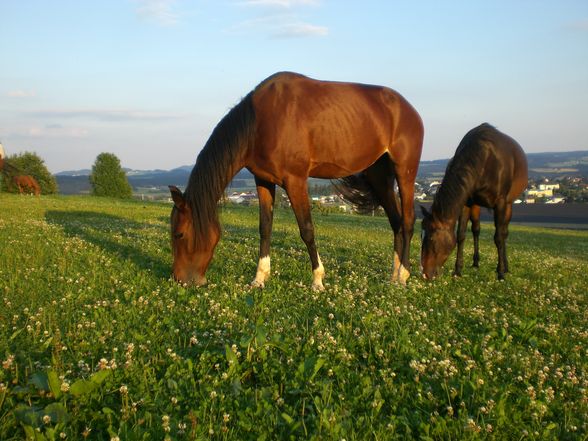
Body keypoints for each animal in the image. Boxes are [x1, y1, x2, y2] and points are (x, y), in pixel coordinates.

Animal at [169, 70, 422, 288]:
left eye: (179, 234)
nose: (179, 279)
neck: (260, 122)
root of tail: (408, 108)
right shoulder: (263, 181)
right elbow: (265, 227)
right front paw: (259, 278)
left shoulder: (296, 180)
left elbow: (307, 229)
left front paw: (317, 280)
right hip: (379, 175)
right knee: (396, 222)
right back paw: (393, 276)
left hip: (405, 172)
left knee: (408, 222)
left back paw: (403, 275)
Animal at [420, 123, 532, 278]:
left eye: (431, 239)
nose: (425, 273)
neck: (485, 159)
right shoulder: (466, 203)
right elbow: (461, 235)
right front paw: (458, 270)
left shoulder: (501, 203)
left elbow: (499, 237)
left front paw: (500, 272)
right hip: (476, 205)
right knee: (476, 230)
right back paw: (476, 262)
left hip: (508, 204)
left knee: (504, 232)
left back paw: (505, 266)